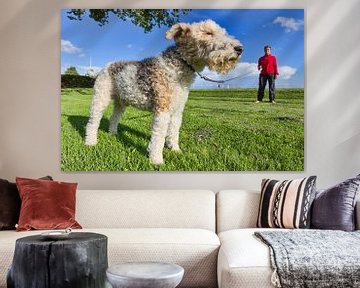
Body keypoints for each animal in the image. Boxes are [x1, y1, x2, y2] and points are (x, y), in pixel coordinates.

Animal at [85, 19, 242, 164]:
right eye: (208, 33)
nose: (239, 48)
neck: (179, 66)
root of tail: (104, 68)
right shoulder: (163, 109)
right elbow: (159, 137)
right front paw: (157, 160)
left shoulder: (177, 110)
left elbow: (174, 132)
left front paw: (176, 150)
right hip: (101, 97)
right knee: (92, 122)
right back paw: (90, 142)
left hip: (121, 102)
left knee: (113, 118)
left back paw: (113, 134)